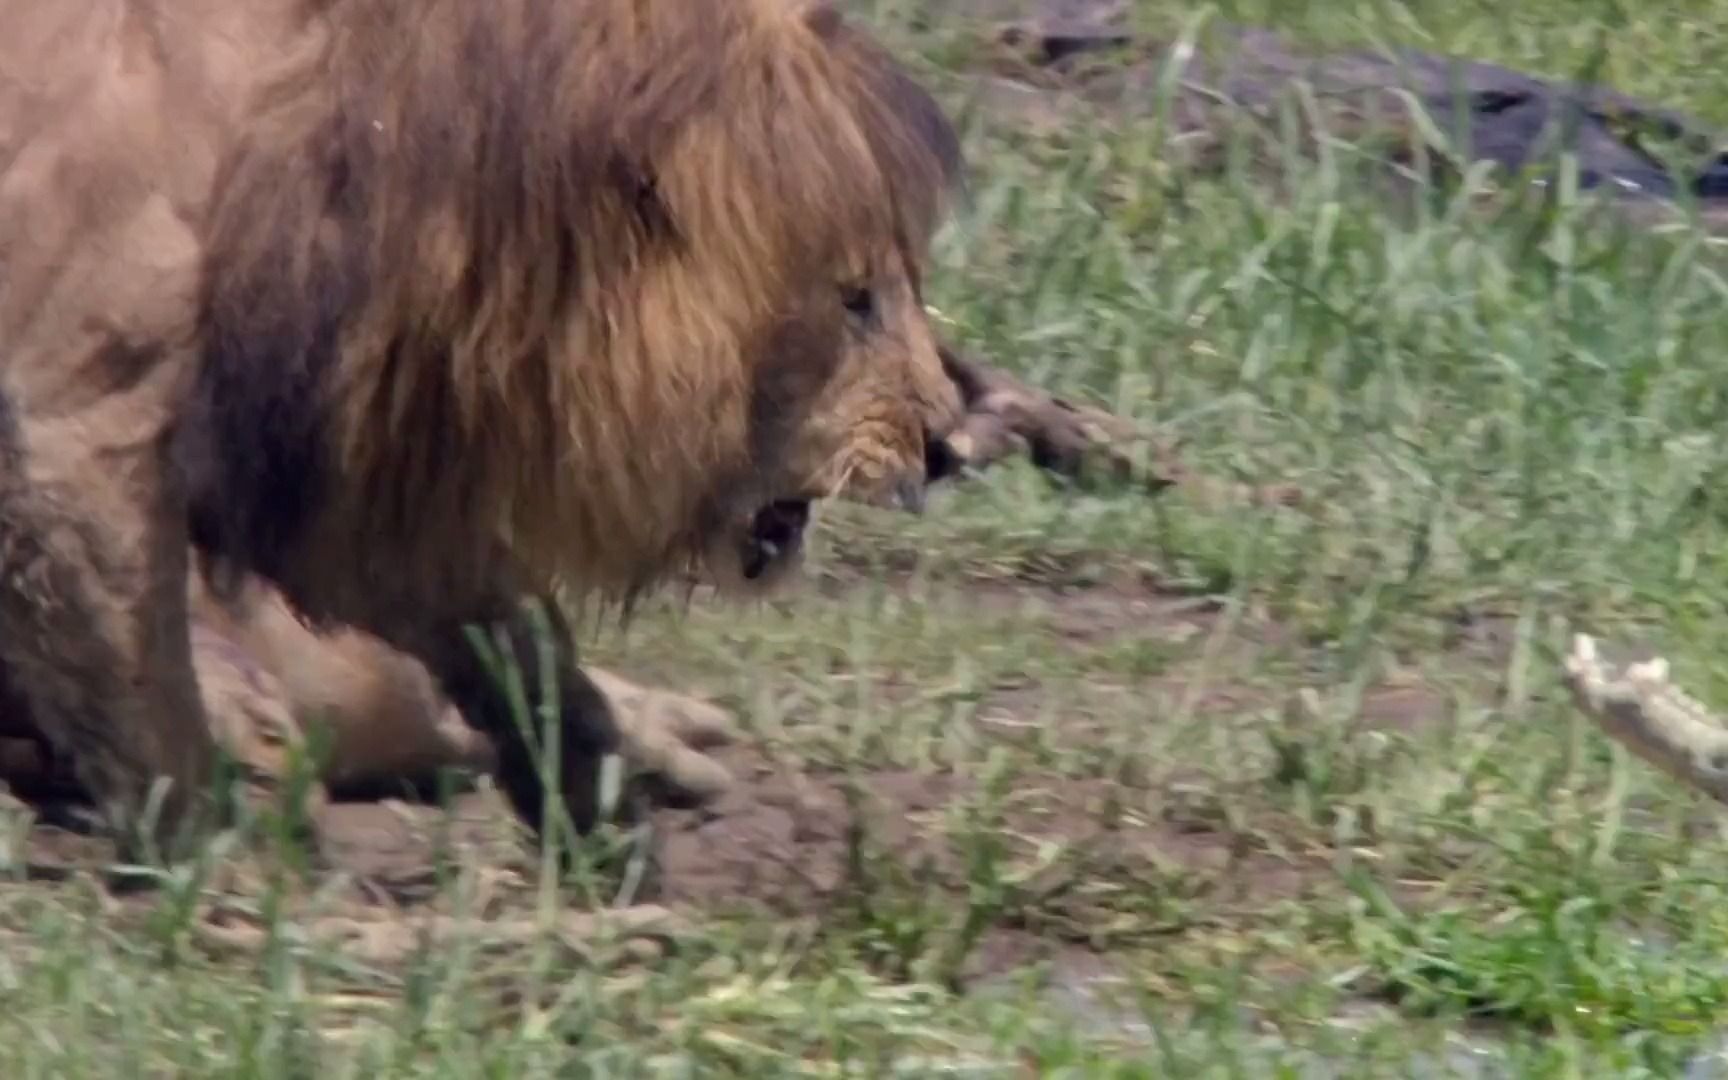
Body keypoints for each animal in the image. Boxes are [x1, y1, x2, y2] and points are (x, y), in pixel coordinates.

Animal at [0, 0, 960, 860]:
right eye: (855, 300)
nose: (949, 446)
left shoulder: (356, 478)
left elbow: (524, 649)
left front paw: (607, 823)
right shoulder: (75, 438)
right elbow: (150, 703)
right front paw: (222, 864)